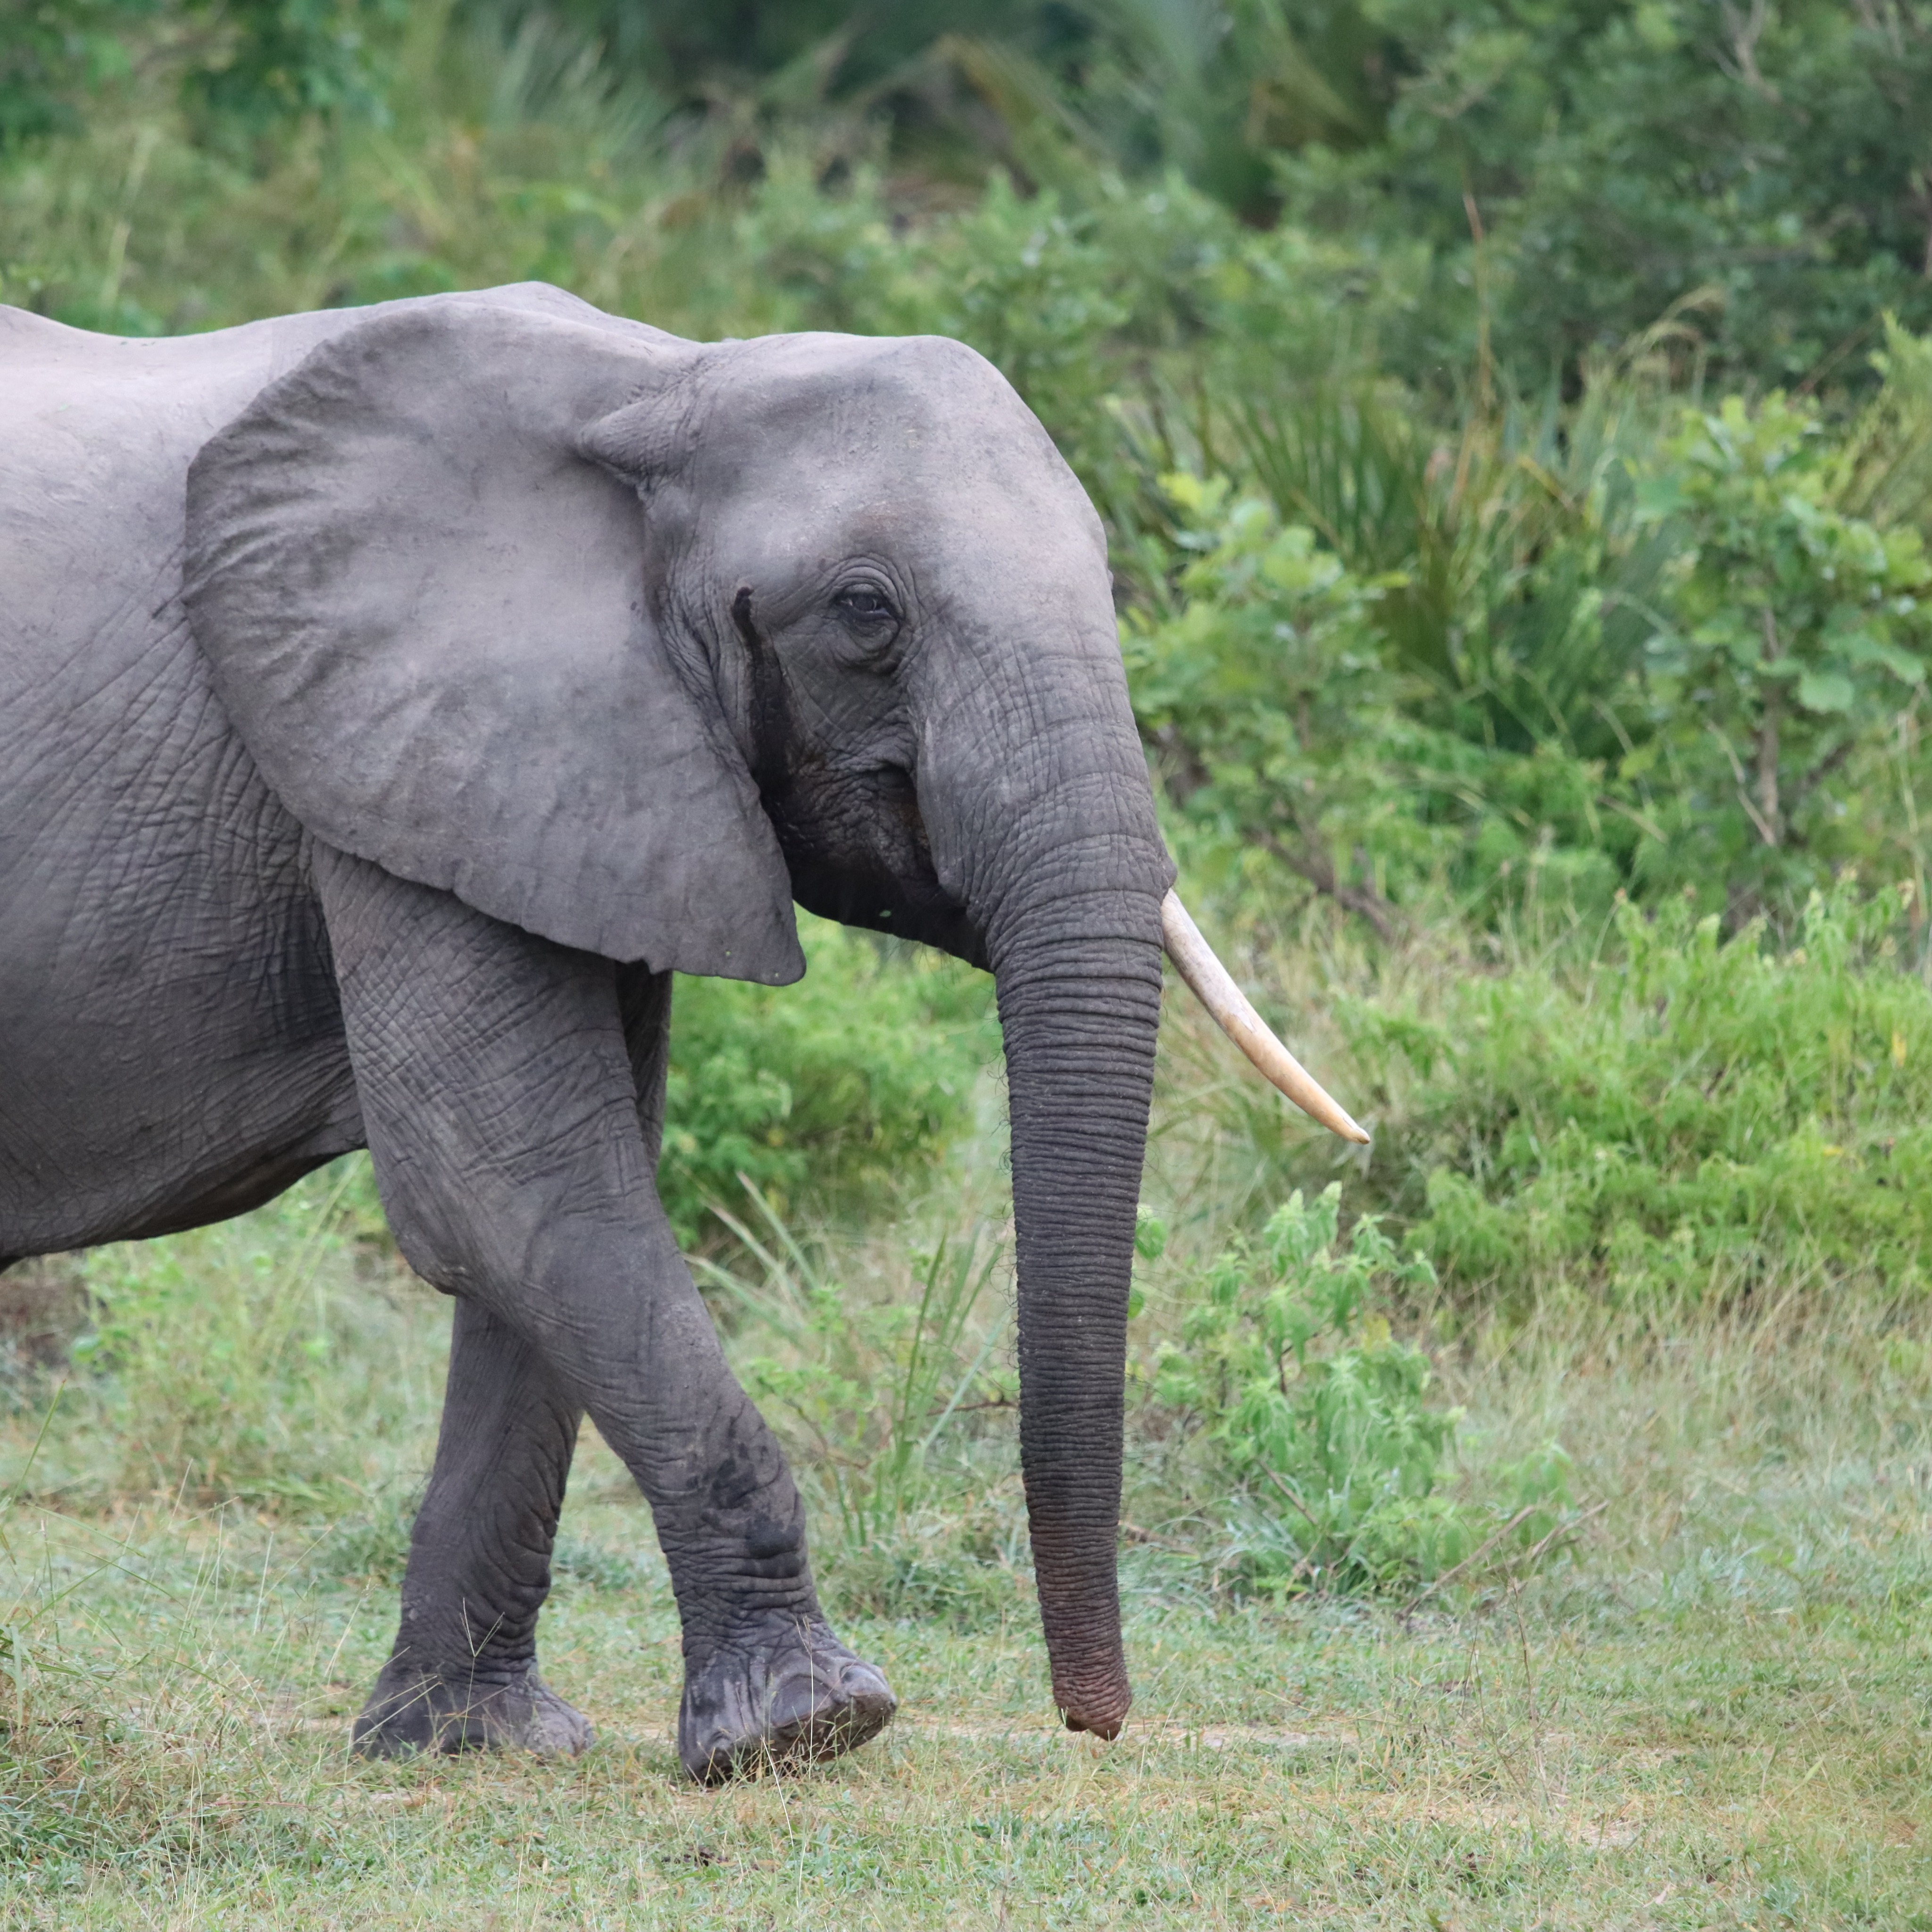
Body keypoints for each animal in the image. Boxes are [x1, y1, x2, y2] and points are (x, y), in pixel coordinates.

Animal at [0, 282, 1361, 1782]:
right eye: (866, 612)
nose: (1095, 1721)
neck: (667, 382)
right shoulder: (380, 757)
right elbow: (511, 1186)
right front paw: (810, 1727)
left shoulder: (564, 782)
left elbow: (572, 1200)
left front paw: (471, 1743)